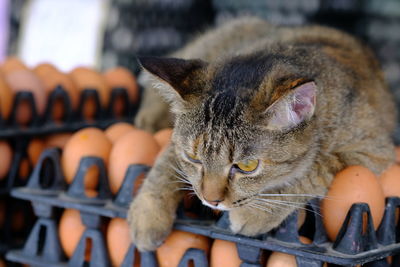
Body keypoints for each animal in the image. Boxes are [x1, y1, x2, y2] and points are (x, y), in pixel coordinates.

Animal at [127, 16, 394, 251]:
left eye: (247, 167)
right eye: (193, 158)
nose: (210, 200)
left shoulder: (375, 153)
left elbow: (316, 167)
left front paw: (255, 212)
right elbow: (165, 163)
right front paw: (148, 212)